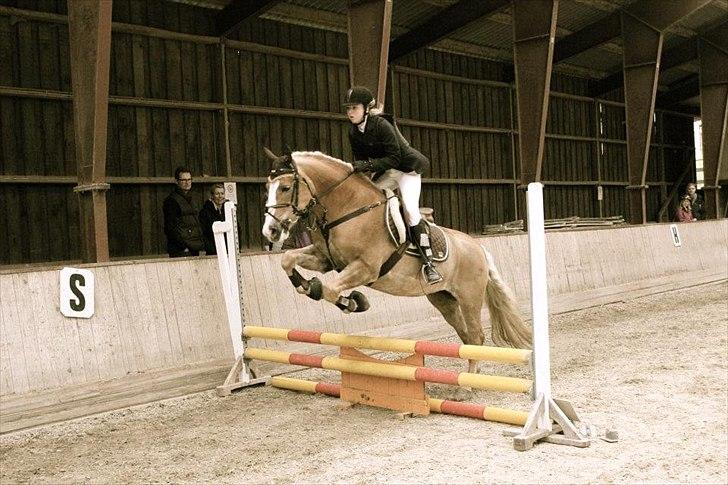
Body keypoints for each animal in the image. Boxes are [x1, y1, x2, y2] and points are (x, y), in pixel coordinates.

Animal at [260, 147, 528, 370]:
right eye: (267, 187)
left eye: (285, 188)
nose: (270, 231)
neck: (348, 209)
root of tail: (478, 247)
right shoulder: (326, 260)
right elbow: (288, 260)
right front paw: (309, 287)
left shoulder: (365, 268)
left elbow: (328, 289)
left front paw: (354, 303)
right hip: (443, 298)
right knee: (464, 335)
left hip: (469, 297)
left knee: (475, 336)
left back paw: (467, 387)